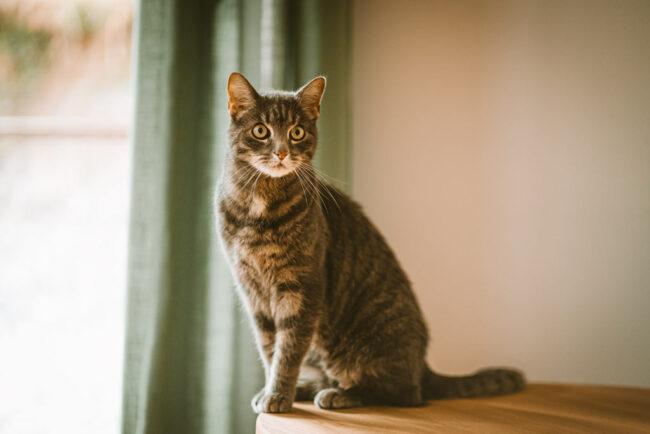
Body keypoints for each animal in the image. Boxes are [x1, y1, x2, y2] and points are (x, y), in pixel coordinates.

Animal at [215, 72, 524, 414]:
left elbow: (289, 350)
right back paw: (309, 388)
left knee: (400, 393)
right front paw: (275, 391)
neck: (259, 208)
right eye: (261, 130)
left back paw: (340, 394)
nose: (282, 152)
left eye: (297, 132)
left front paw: (278, 395)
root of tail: (424, 367)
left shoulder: (301, 287)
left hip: (369, 347)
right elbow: (270, 349)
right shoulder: (253, 292)